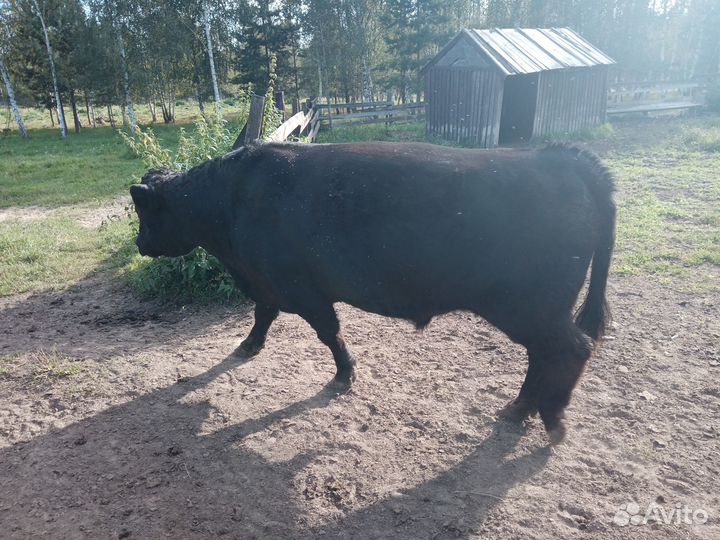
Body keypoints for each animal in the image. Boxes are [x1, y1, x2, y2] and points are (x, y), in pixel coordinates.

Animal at [130, 141, 615, 444]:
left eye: (144, 212)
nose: (138, 242)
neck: (230, 202)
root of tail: (562, 157)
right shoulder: (268, 281)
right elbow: (263, 314)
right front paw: (248, 346)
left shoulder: (302, 288)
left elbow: (329, 333)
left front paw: (344, 375)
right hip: (538, 313)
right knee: (544, 356)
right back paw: (519, 409)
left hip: (532, 308)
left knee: (571, 350)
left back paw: (551, 418)